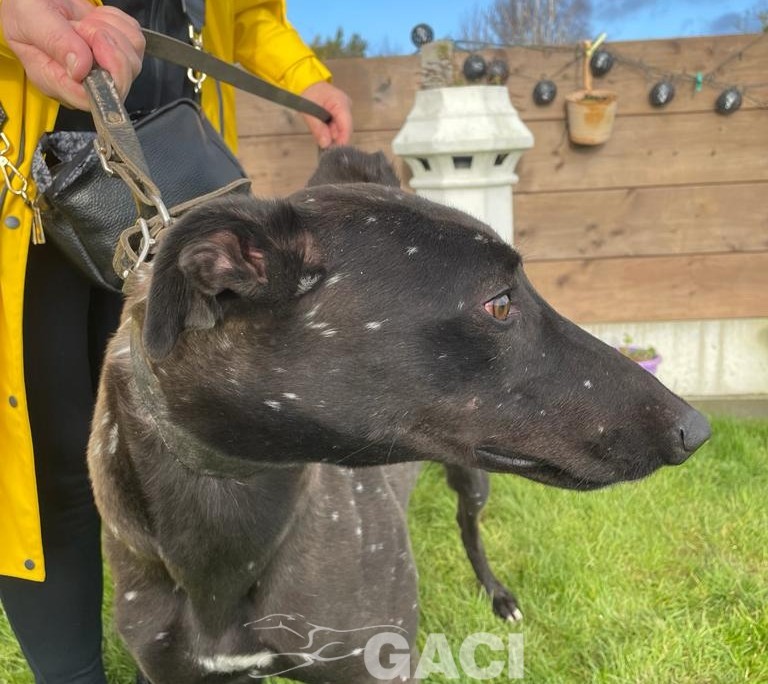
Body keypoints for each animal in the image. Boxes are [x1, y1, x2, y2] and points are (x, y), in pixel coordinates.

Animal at [88, 147, 710, 683]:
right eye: (499, 303)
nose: (695, 430)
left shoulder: (378, 664)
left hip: (473, 481)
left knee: (469, 528)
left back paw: (498, 595)